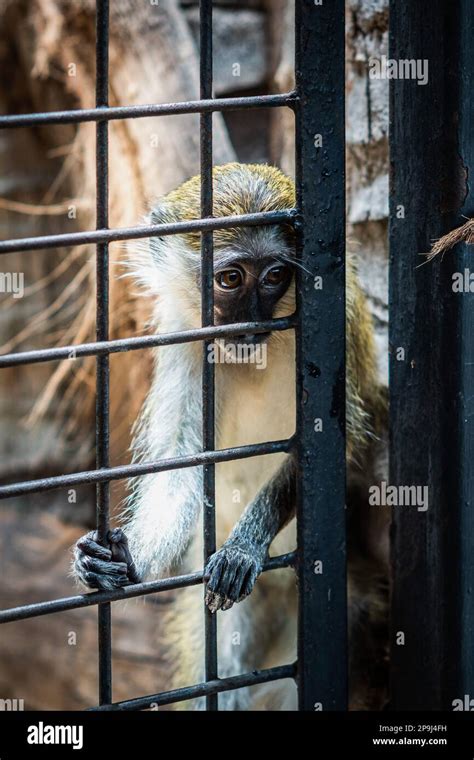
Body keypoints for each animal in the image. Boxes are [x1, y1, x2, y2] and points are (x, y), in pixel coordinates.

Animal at [72, 162, 386, 712]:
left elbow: (328, 445)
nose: (252, 319)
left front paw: (244, 545)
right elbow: (179, 466)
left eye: (276, 276)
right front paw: (122, 560)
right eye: (231, 279)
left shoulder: (338, 317)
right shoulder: (184, 336)